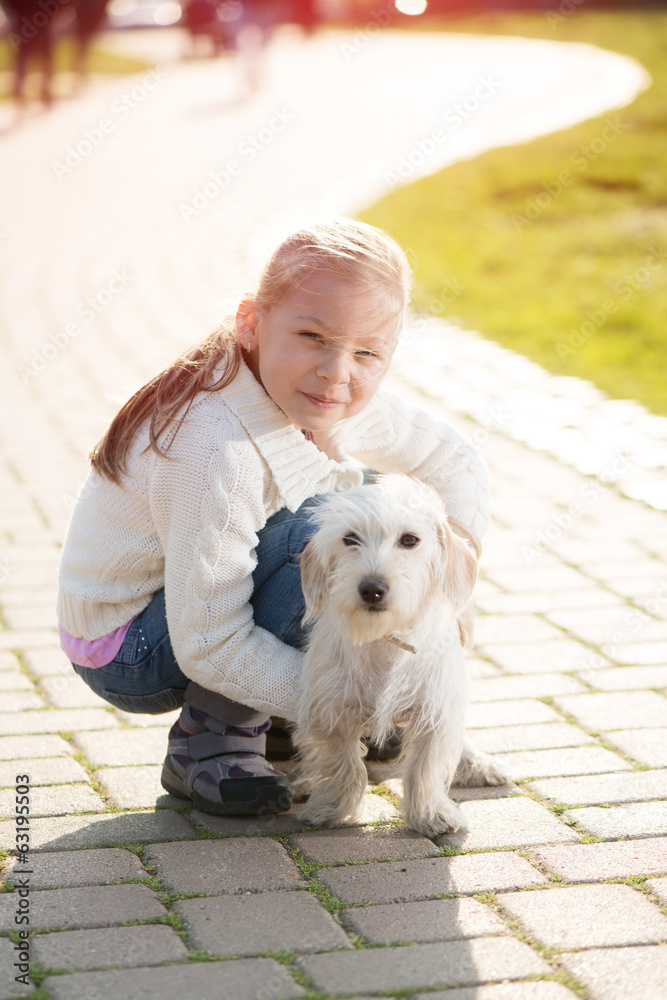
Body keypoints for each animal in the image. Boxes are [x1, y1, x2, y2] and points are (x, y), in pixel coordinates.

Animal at [294, 474, 506, 836]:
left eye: (409, 540)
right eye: (350, 539)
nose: (372, 588)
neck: (385, 639)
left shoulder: (435, 708)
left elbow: (425, 767)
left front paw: (431, 815)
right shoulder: (330, 708)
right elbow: (343, 762)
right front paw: (334, 807)